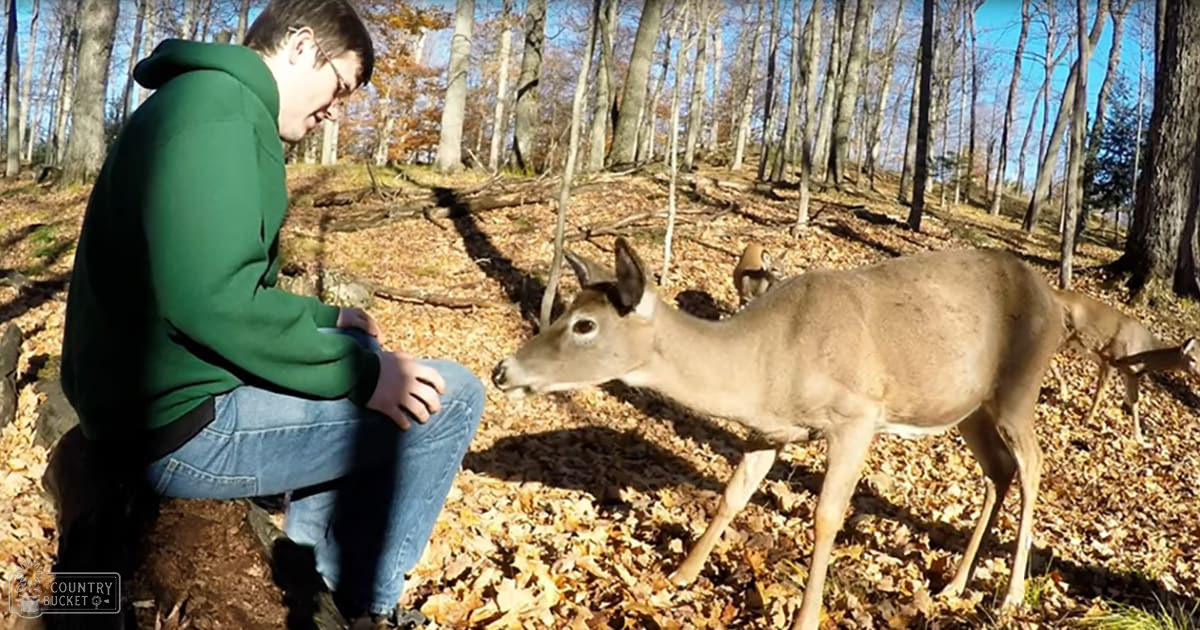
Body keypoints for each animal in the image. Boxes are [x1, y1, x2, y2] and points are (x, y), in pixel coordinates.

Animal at [491, 238, 1065, 630]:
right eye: (567, 310)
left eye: (584, 324)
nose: (502, 371)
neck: (768, 364)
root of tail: (1056, 301)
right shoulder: (769, 431)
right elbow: (732, 495)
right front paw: (680, 576)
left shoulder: (856, 416)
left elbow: (827, 516)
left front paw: (806, 618)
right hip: (968, 406)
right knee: (997, 471)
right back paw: (954, 585)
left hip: (1019, 385)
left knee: (1033, 465)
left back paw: (1011, 595)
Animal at [1050, 290, 1197, 443]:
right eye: (1193, 359)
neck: (1145, 352)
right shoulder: (1109, 358)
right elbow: (1100, 393)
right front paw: (1087, 420)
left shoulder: (1131, 373)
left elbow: (1134, 401)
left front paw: (1139, 438)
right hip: (1064, 332)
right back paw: (1064, 392)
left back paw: (1063, 392)